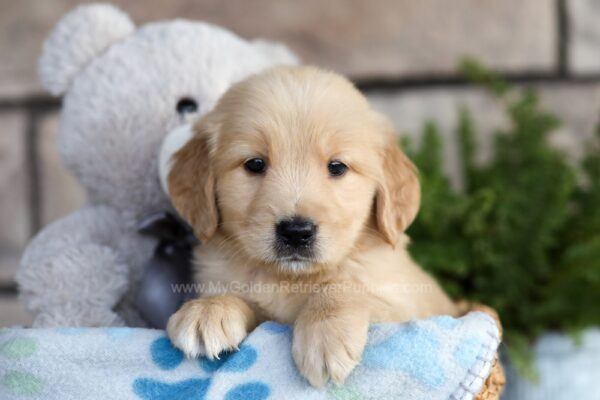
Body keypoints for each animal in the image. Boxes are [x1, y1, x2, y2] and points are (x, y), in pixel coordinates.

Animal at [164, 66, 454, 388]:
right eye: (255, 164)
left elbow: (345, 284)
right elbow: (244, 300)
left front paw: (325, 334)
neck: (290, 279)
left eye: (337, 167)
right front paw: (209, 309)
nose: (296, 232)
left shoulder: (405, 306)